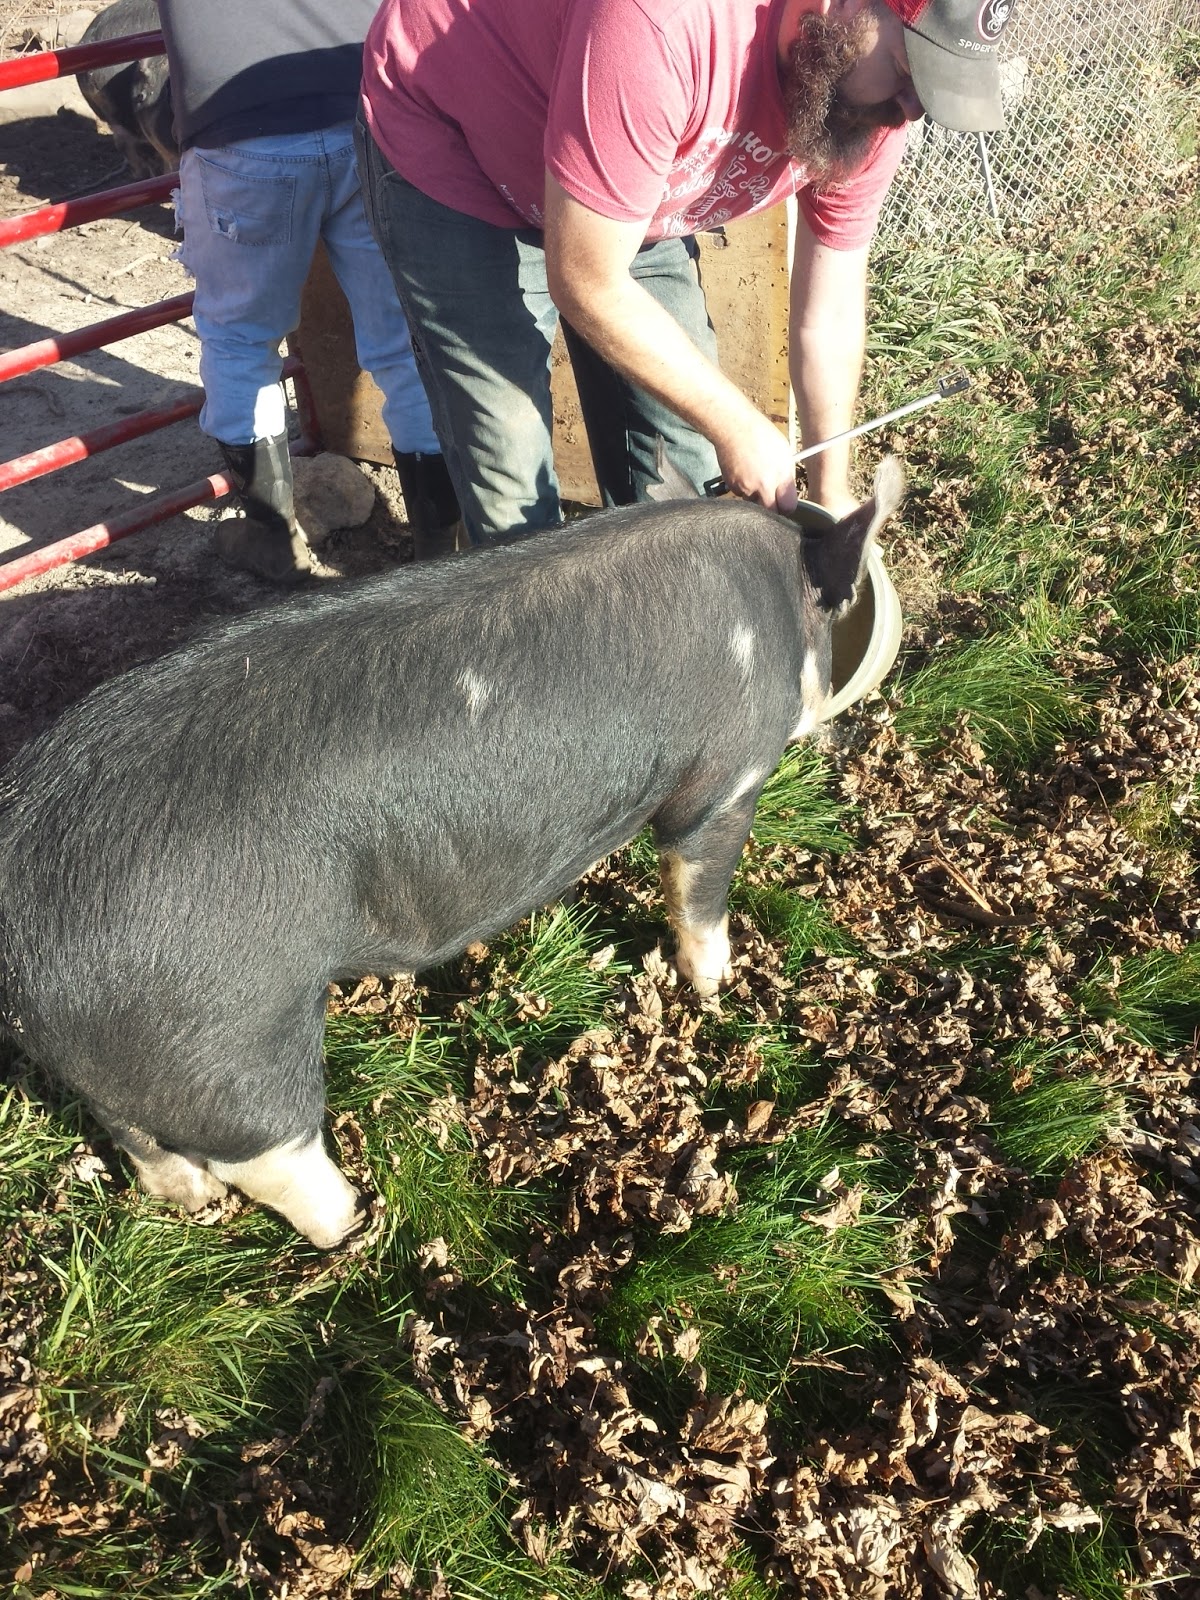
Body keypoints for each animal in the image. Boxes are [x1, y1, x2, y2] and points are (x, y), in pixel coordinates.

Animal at [0, 458, 903, 1249]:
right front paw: (715, 987)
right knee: (270, 1151)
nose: (845, 733)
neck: (771, 604)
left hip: (111, 1061)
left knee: (141, 1138)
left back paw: (192, 1200)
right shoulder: (724, 777)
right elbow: (697, 884)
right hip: (225, 1034)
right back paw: (354, 1224)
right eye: (832, 623)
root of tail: (25, 930)